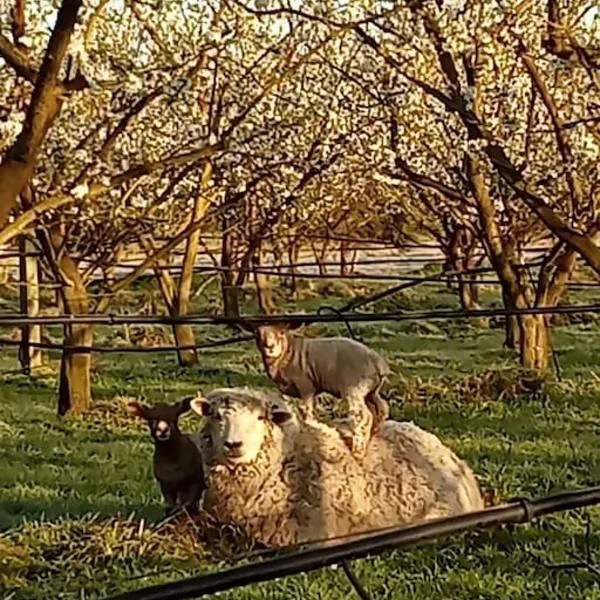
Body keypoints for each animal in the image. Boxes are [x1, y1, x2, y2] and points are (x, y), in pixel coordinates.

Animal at [241, 324, 392, 460]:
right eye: (257, 334)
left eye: (281, 333)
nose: (269, 347)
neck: (287, 353)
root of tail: (377, 362)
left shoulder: (306, 386)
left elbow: (306, 411)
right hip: (370, 391)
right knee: (381, 408)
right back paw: (373, 434)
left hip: (354, 389)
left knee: (364, 416)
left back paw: (358, 451)